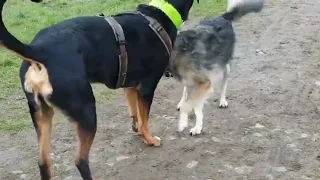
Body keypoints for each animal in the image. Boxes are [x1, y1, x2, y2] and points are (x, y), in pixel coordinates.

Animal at [0, 0, 198, 179]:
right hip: (87, 113)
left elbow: (135, 114)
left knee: (43, 162)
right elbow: (145, 120)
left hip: (42, 114)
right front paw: (149, 139)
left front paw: (138, 131)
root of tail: (39, 50)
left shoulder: (130, 86)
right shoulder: (147, 88)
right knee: (80, 161)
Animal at [170, 0, 264, 135]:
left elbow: (194, 105)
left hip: (225, 68)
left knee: (224, 85)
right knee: (186, 91)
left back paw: (222, 101)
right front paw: (186, 121)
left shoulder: (205, 83)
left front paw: (195, 127)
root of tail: (222, 17)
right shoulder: (192, 81)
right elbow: (189, 101)